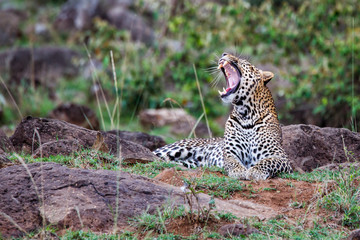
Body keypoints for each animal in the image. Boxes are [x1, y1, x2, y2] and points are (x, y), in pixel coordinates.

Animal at [153, 53, 292, 180]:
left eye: (244, 62)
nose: (224, 53)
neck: (246, 114)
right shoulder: (230, 153)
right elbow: (233, 162)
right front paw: (239, 171)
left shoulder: (282, 157)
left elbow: (267, 161)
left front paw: (255, 171)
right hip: (175, 148)